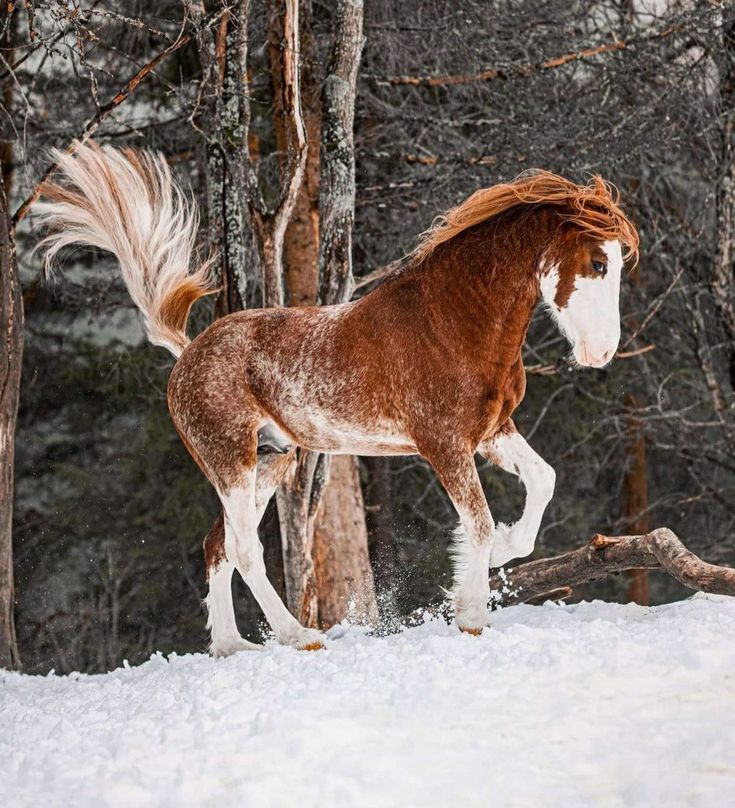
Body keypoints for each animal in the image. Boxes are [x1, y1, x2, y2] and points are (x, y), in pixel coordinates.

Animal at [37, 142, 640, 652]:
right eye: (598, 262)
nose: (602, 352)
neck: (452, 320)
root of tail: (187, 353)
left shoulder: (491, 431)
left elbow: (543, 481)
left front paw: (503, 552)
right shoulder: (444, 444)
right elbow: (480, 522)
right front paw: (469, 612)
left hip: (271, 462)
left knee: (218, 547)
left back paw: (232, 646)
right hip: (231, 463)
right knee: (244, 550)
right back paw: (298, 636)